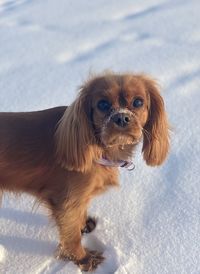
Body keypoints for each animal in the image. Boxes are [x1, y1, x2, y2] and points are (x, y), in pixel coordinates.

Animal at [0, 73, 169, 272]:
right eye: (102, 104)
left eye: (138, 102)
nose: (121, 118)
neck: (100, 151)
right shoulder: (65, 203)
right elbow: (71, 237)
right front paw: (84, 259)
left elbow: (79, 216)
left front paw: (84, 226)